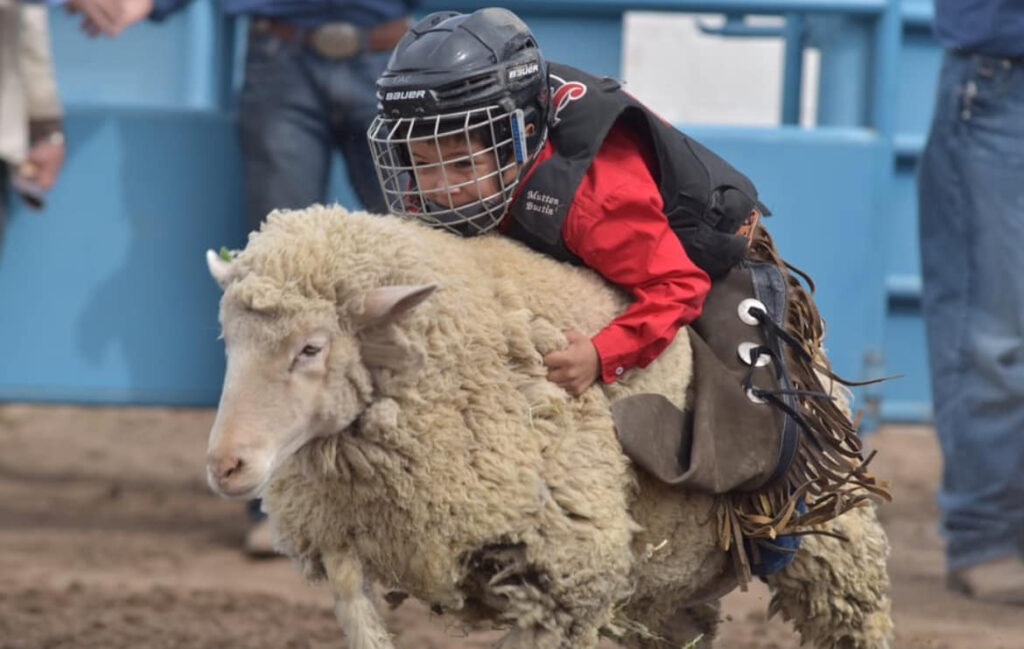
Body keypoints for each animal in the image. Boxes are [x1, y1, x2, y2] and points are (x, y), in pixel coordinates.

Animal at [203, 204, 892, 646]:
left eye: (310, 349)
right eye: (228, 340)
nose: (225, 466)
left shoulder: (570, 575)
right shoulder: (343, 546)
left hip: (831, 538)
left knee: (858, 617)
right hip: (663, 583)